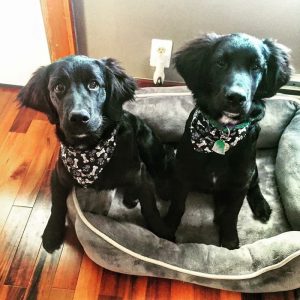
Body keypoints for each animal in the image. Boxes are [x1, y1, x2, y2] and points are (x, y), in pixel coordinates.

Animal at [18, 55, 173, 252]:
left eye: (94, 84)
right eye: (59, 87)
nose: (79, 118)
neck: (90, 151)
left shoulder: (139, 172)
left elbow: (150, 206)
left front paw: (163, 232)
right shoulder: (58, 176)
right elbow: (57, 205)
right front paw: (52, 233)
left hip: (148, 145)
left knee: (162, 168)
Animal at [164, 32, 292, 248]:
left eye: (256, 67)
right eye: (220, 63)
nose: (236, 97)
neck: (221, 134)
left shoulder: (240, 182)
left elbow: (232, 214)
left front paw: (230, 240)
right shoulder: (182, 174)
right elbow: (177, 205)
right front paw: (166, 229)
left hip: (252, 170)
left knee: (255, 184)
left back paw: (261, 205)